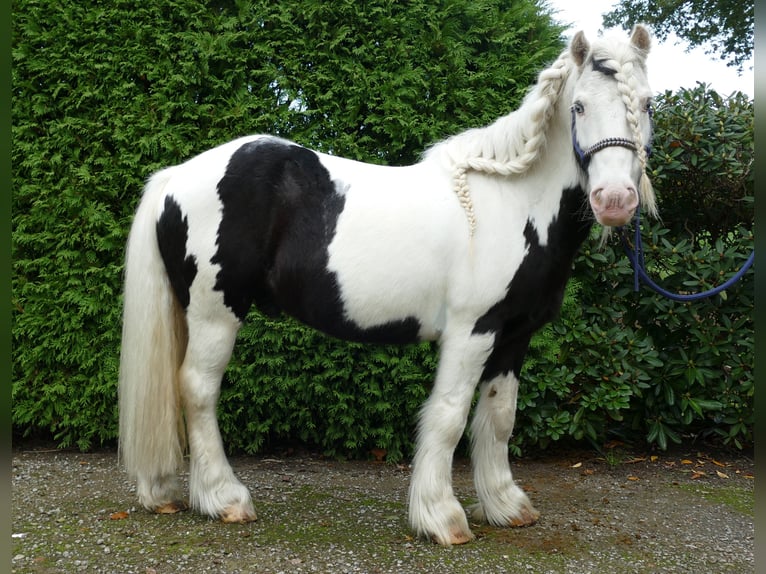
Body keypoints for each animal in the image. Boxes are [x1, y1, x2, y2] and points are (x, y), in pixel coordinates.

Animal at [120, 25, 660, 548]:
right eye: (579, 106)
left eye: (647, 104)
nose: (614, 199)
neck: (511, 204)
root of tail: (175, 175)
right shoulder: (472, 331)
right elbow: (449, 415)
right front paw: (441, 518)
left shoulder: (515, 334)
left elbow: (499, 415)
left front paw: (506, 506)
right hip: (215, 313)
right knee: (198, 389)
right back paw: (224, 498)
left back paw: (165, 491)